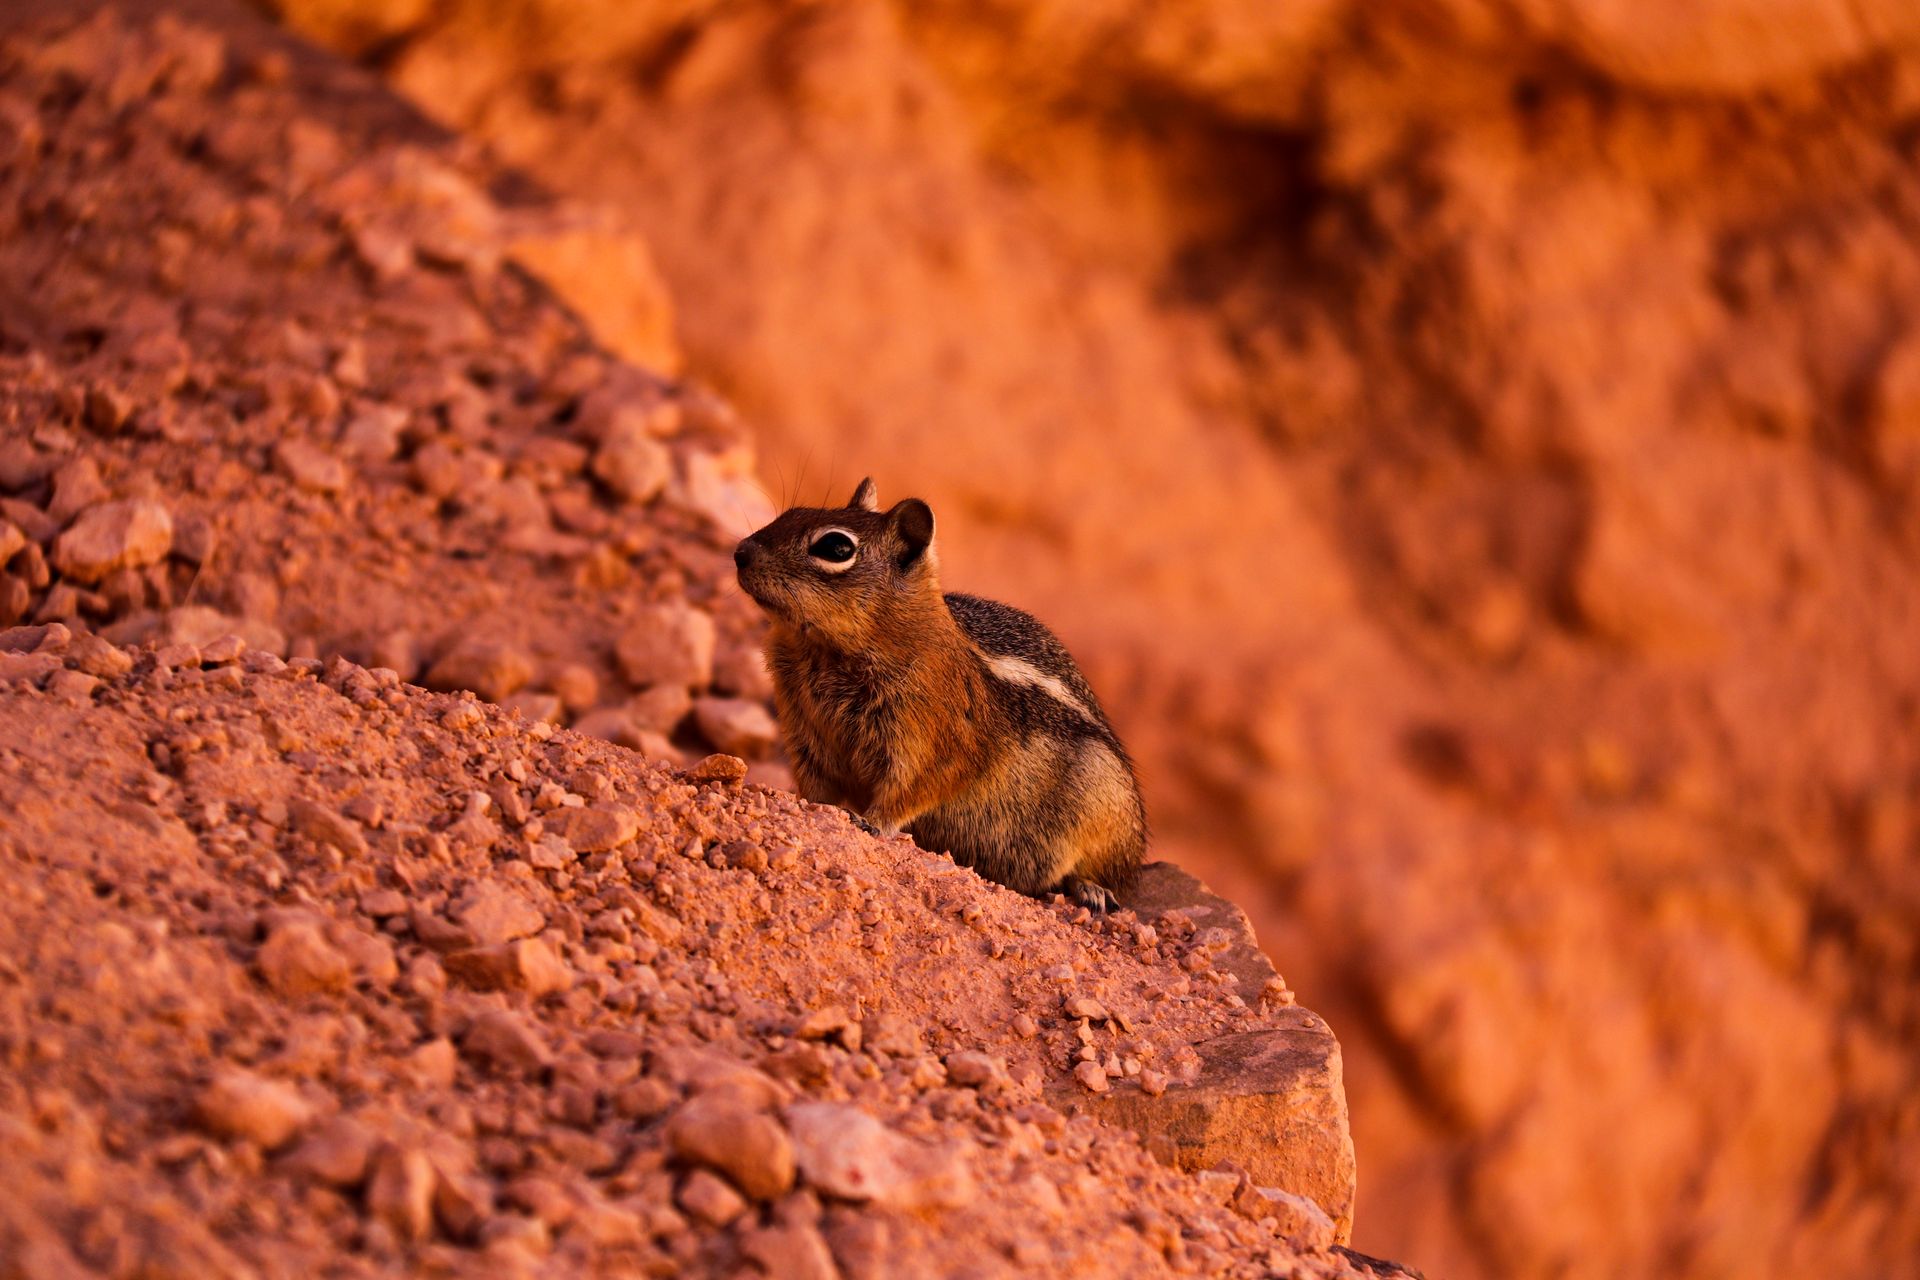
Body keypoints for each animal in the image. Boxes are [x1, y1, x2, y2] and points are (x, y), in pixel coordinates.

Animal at [733, 477, 1146, 912]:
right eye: (790, 514)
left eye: (836, 547)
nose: (740, 552)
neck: (824, 650)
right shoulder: (803, 730)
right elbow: (817, 787)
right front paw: (812, 809)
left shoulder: (930, 741)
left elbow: (908, 790)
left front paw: (871, 823)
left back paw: (1092, 889)